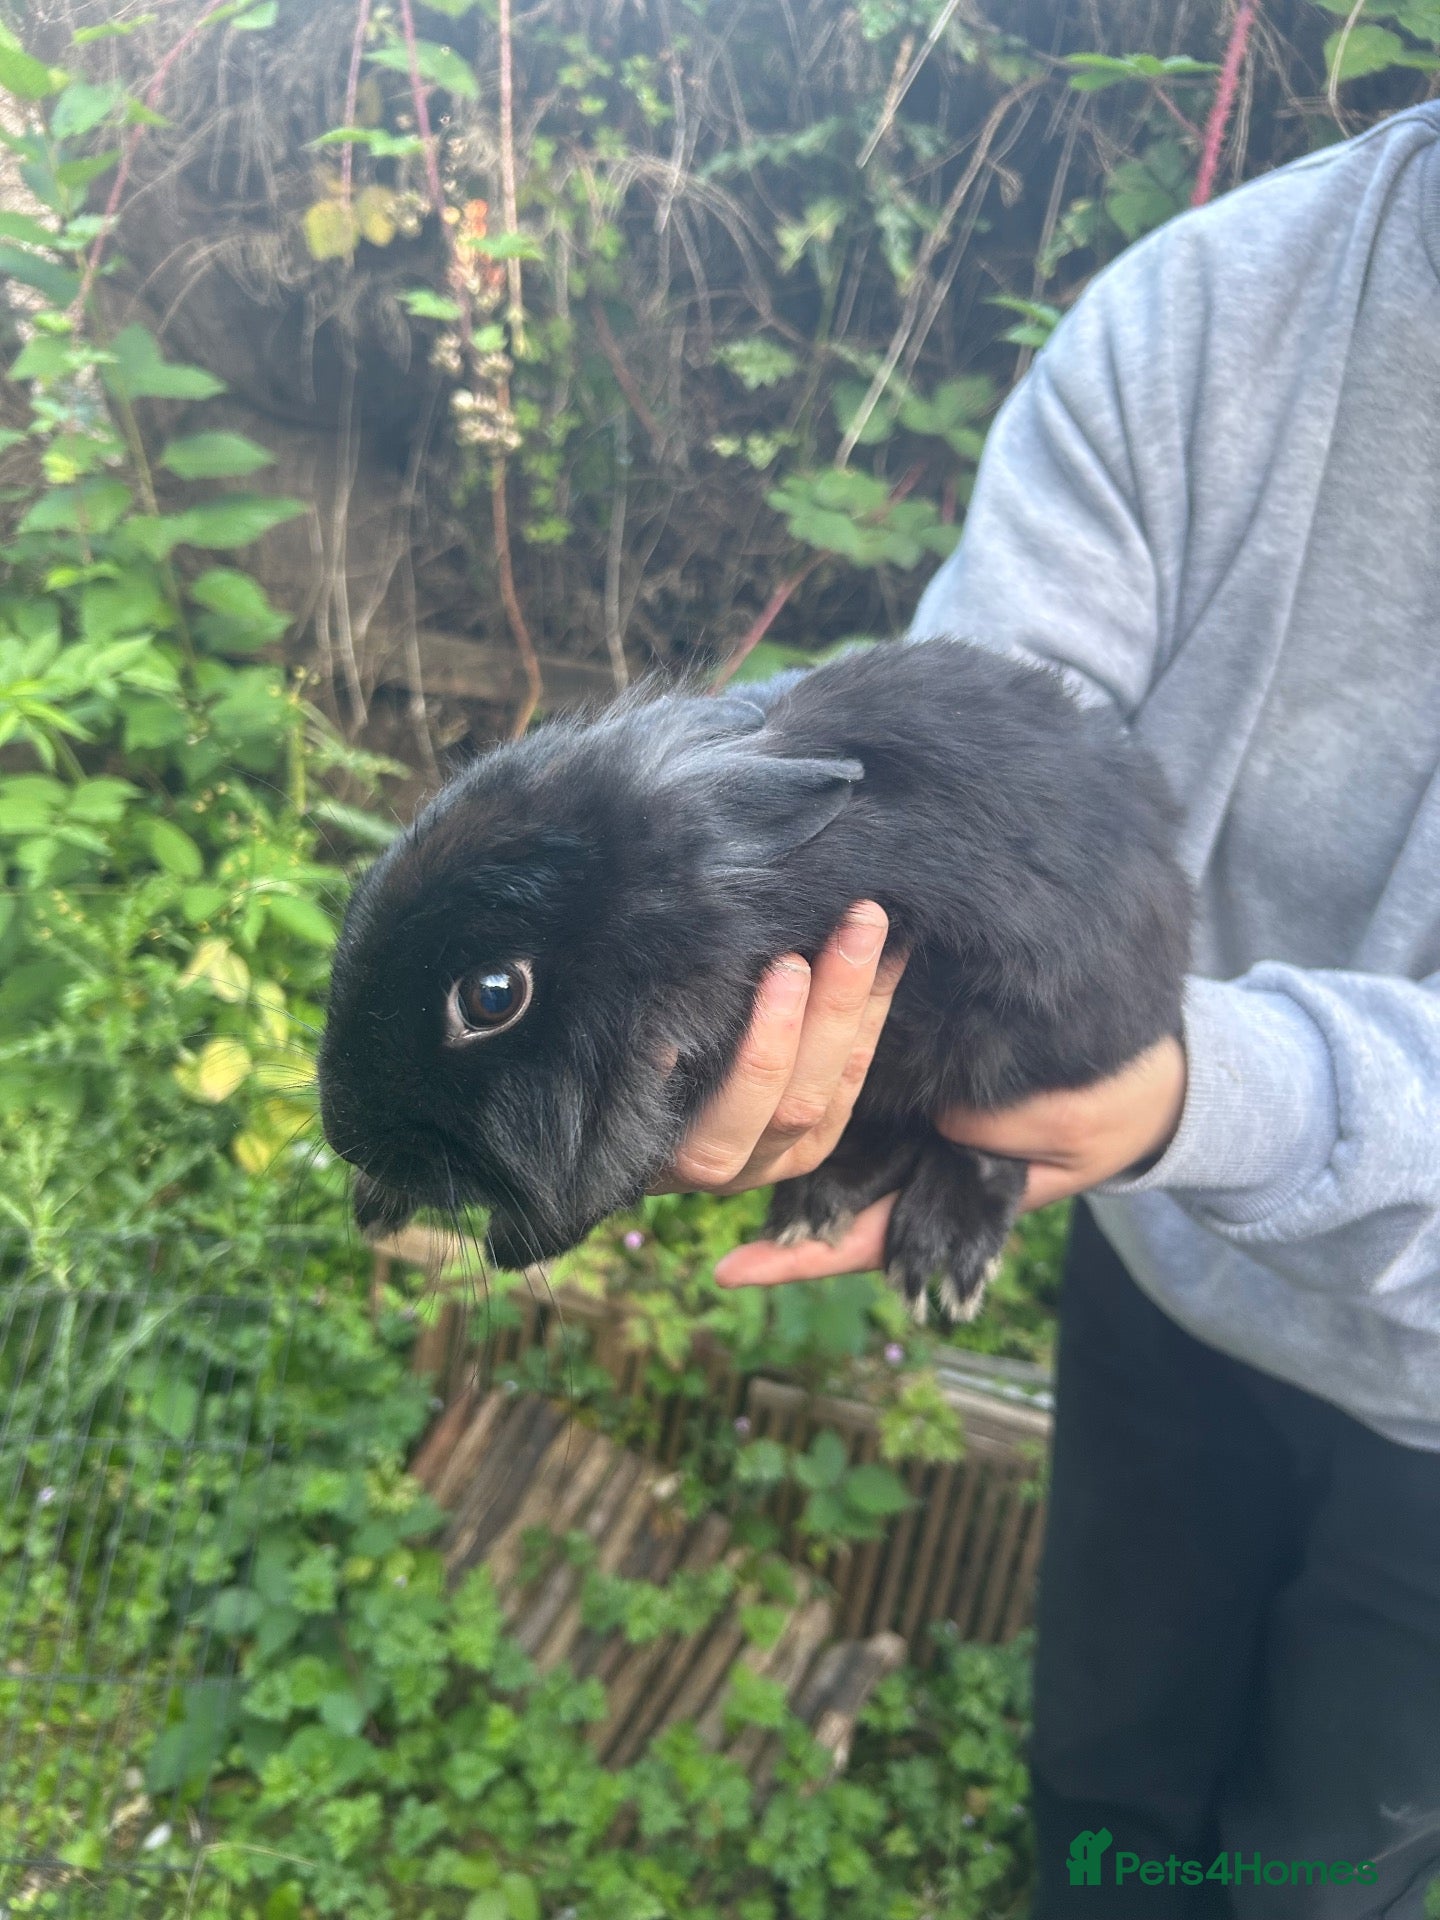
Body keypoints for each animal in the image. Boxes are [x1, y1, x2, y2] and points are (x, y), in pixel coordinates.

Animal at [318, 636, 1192, 1323]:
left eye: (492, 997)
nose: (346, 1137)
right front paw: (374, 1203)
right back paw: (817, 1204)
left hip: (1017, 1046)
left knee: (979, 1136)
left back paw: (941, 1255)